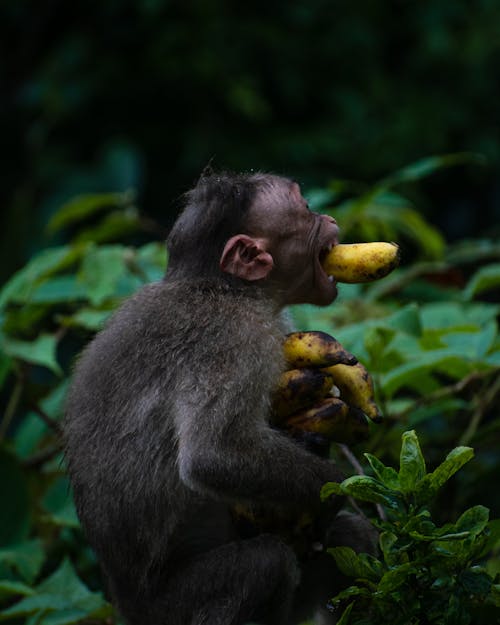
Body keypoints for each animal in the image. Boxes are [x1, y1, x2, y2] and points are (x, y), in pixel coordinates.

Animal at [63, 171, 376, 624]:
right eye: (306, 211)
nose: (330, 218)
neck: (224, 288)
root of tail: (128, 605)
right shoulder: (235, 338)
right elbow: (213, 455)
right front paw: (333, 487)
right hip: (175, 608)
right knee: (267, 563)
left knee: (348, 538)